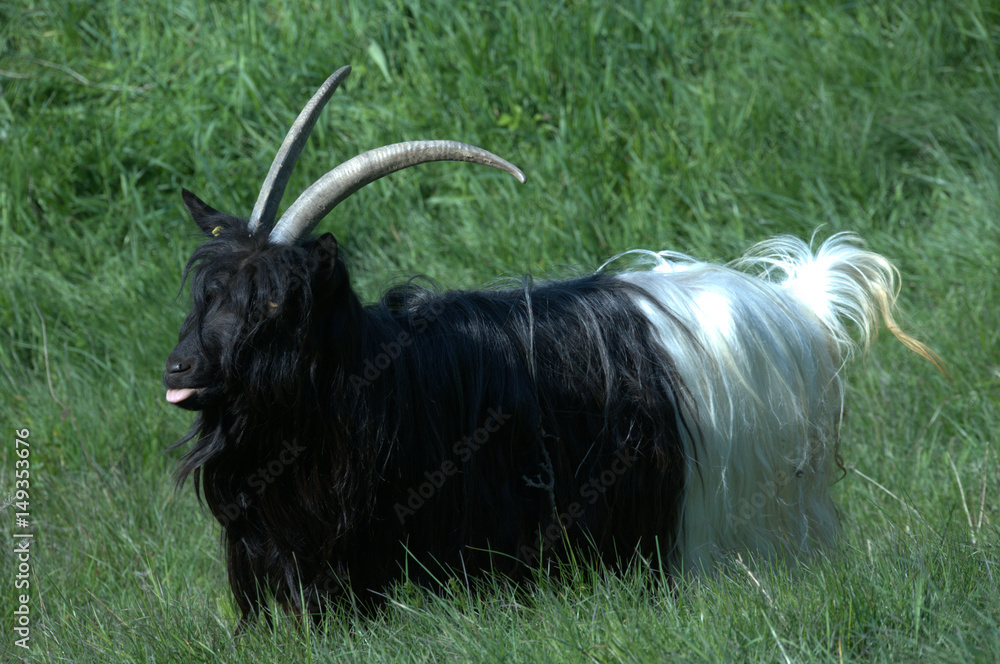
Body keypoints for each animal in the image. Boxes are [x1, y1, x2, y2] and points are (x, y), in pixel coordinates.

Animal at [164, 66, 936, 625]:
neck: (370, 379)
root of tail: (797, 308)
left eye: (272, 301)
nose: (181, 368)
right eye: (205, 293)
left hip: (752, 506)